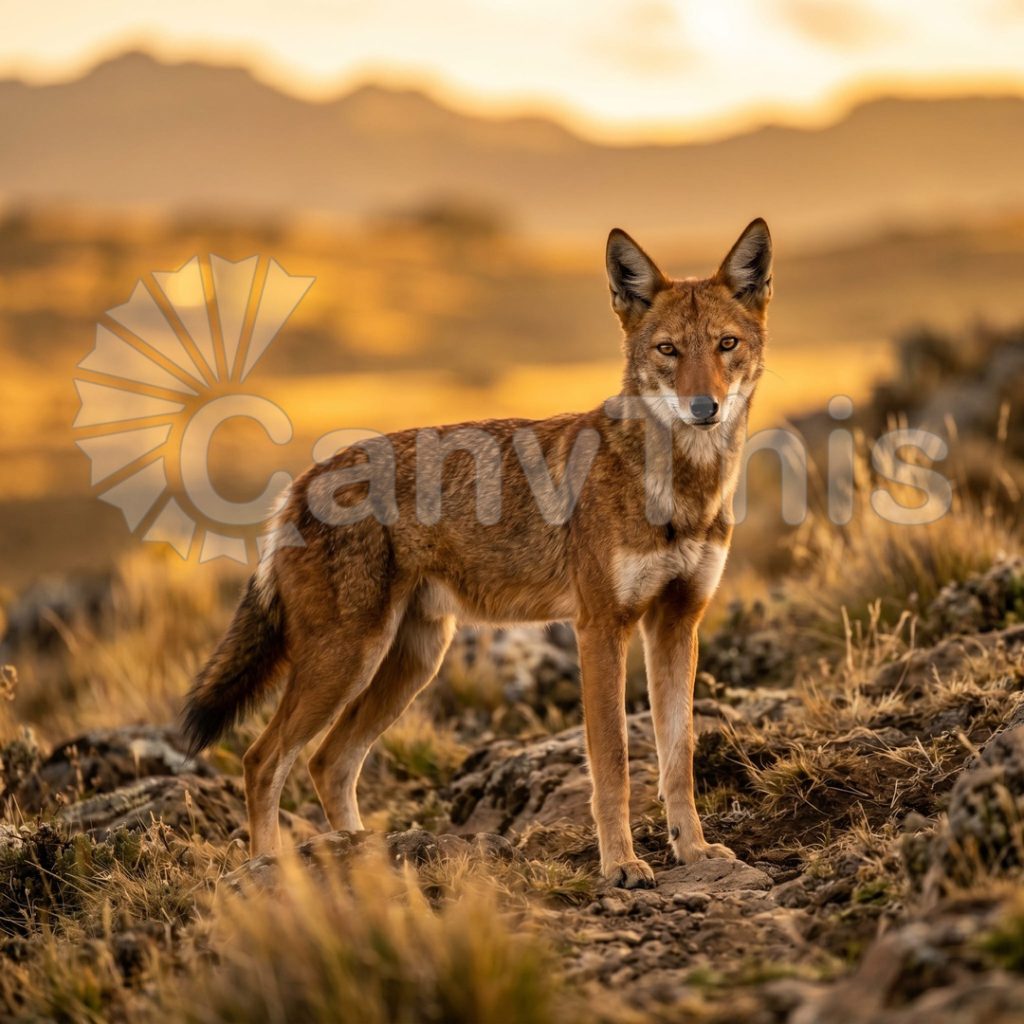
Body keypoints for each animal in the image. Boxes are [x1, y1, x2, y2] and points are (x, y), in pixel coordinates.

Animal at [182, 219, 772, 888]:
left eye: (726, 344)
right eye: (668, 350)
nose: (705, 409)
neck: (682, 490)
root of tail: (297, 484)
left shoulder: (676, 624)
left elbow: (679, 756)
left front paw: (693, 851)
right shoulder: (601, 629)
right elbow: (615, 763)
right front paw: (621, 865)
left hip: (411, 662)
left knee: (328, 762)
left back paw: (360, 856)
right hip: (346, 660)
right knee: (263, 760)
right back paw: (267, 871)